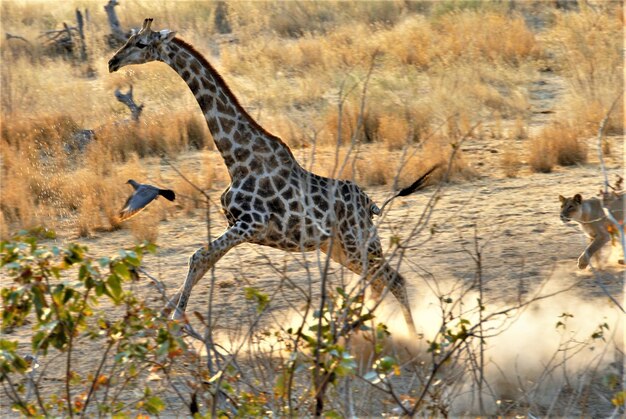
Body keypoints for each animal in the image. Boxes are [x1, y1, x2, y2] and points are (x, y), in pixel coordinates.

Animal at [108, 18, 434, 336]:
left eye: (141, 43)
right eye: (128, 39)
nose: (113, 62)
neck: (236, 158)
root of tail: (370, 205)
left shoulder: (251, 223)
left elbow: (198, 257)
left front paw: (176, 317)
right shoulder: (239, 226)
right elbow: (203, 261)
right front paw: (162, 317)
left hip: (358, 243)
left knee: (395, 280)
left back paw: (412, 338)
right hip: (339, 248)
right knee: (379, 282)